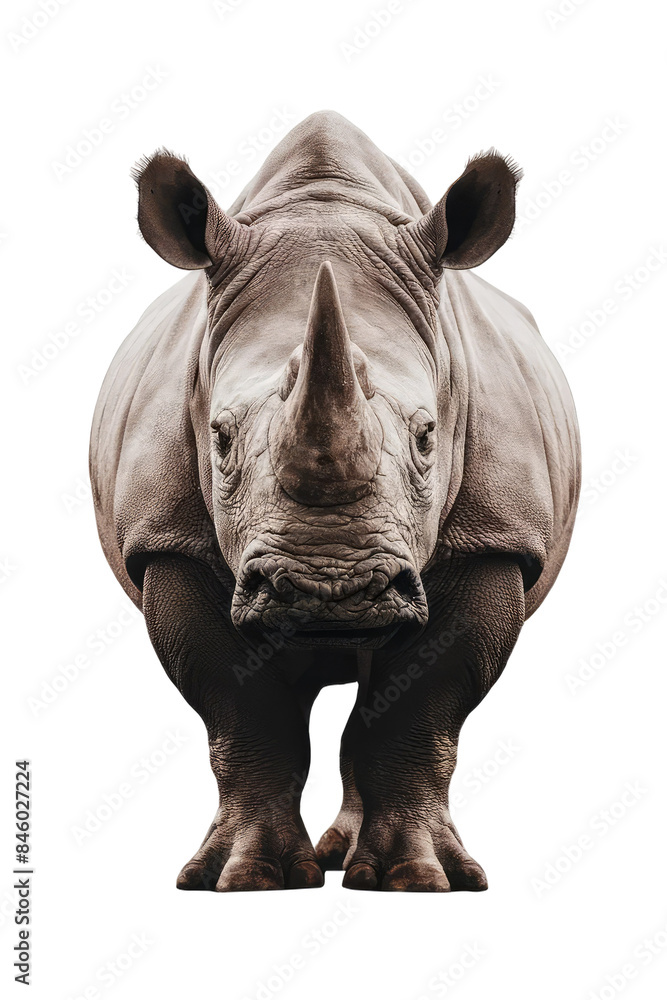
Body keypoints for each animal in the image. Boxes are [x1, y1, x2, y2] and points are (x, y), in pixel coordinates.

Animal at [90, 111, 580, 892]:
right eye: (219, 437)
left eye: (427, 436)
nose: (331, 591)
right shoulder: (167, 541)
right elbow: (245, 713)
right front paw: (243, 878)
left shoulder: (495, 539)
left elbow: (417, 709)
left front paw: (419, 880)